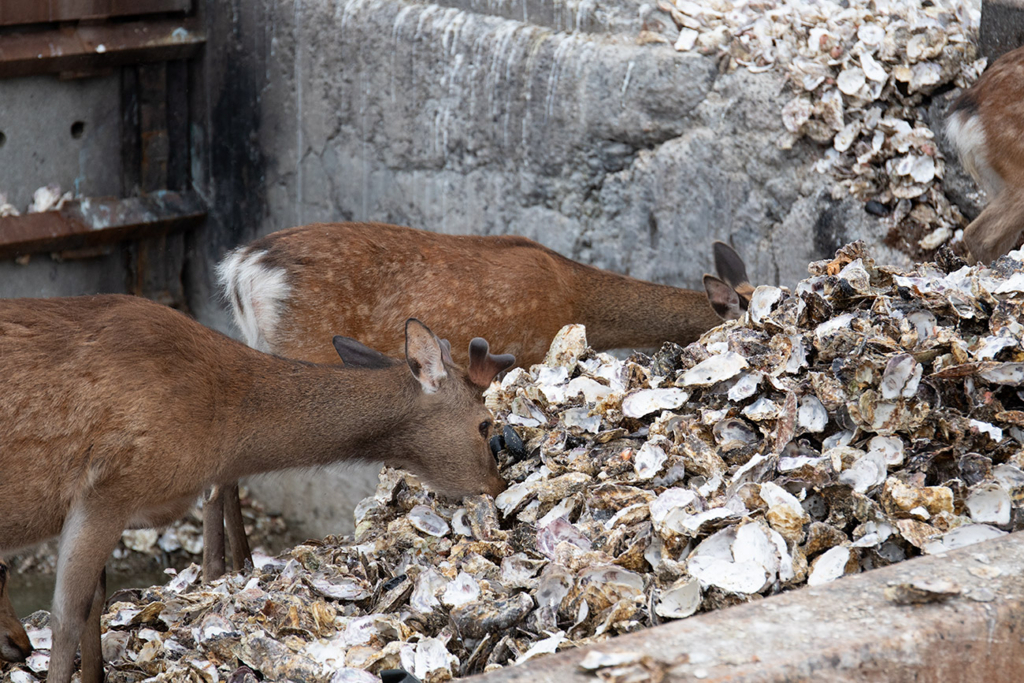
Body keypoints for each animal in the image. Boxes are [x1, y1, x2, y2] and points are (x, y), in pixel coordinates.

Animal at [0, 294, 512, 683]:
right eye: (485, 424)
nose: (498, 484)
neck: (218, 433)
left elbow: (93, 608)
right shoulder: (109, 489)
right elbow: (69, 616)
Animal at [203, 223, 757, 577]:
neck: (575, 299)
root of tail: (242, 271)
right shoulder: (531, 353)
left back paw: (233, 568)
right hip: (302, 348)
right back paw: (227, 570)